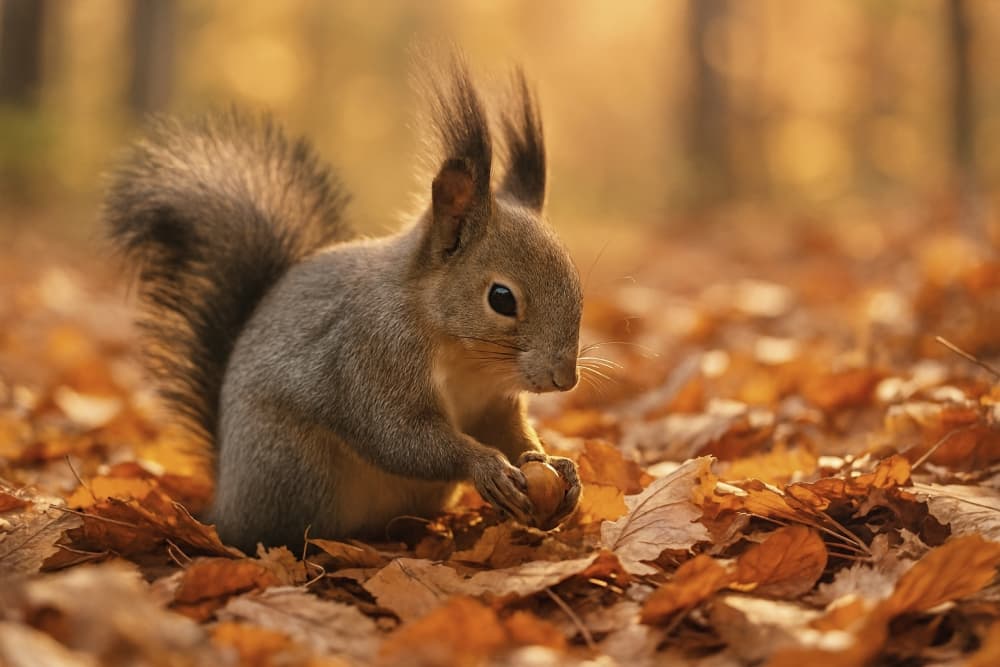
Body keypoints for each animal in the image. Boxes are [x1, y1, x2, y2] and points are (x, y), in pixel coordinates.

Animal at [104, 58, 583, 553]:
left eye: (575, 277)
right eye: (501, 298)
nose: (565, 378)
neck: (465, 356)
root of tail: (226, 505)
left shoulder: (492, 403)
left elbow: (507, 430)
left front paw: (555, 464)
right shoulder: (372, 355)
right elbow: (397, 435)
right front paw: (485, 465)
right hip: (298, 467)